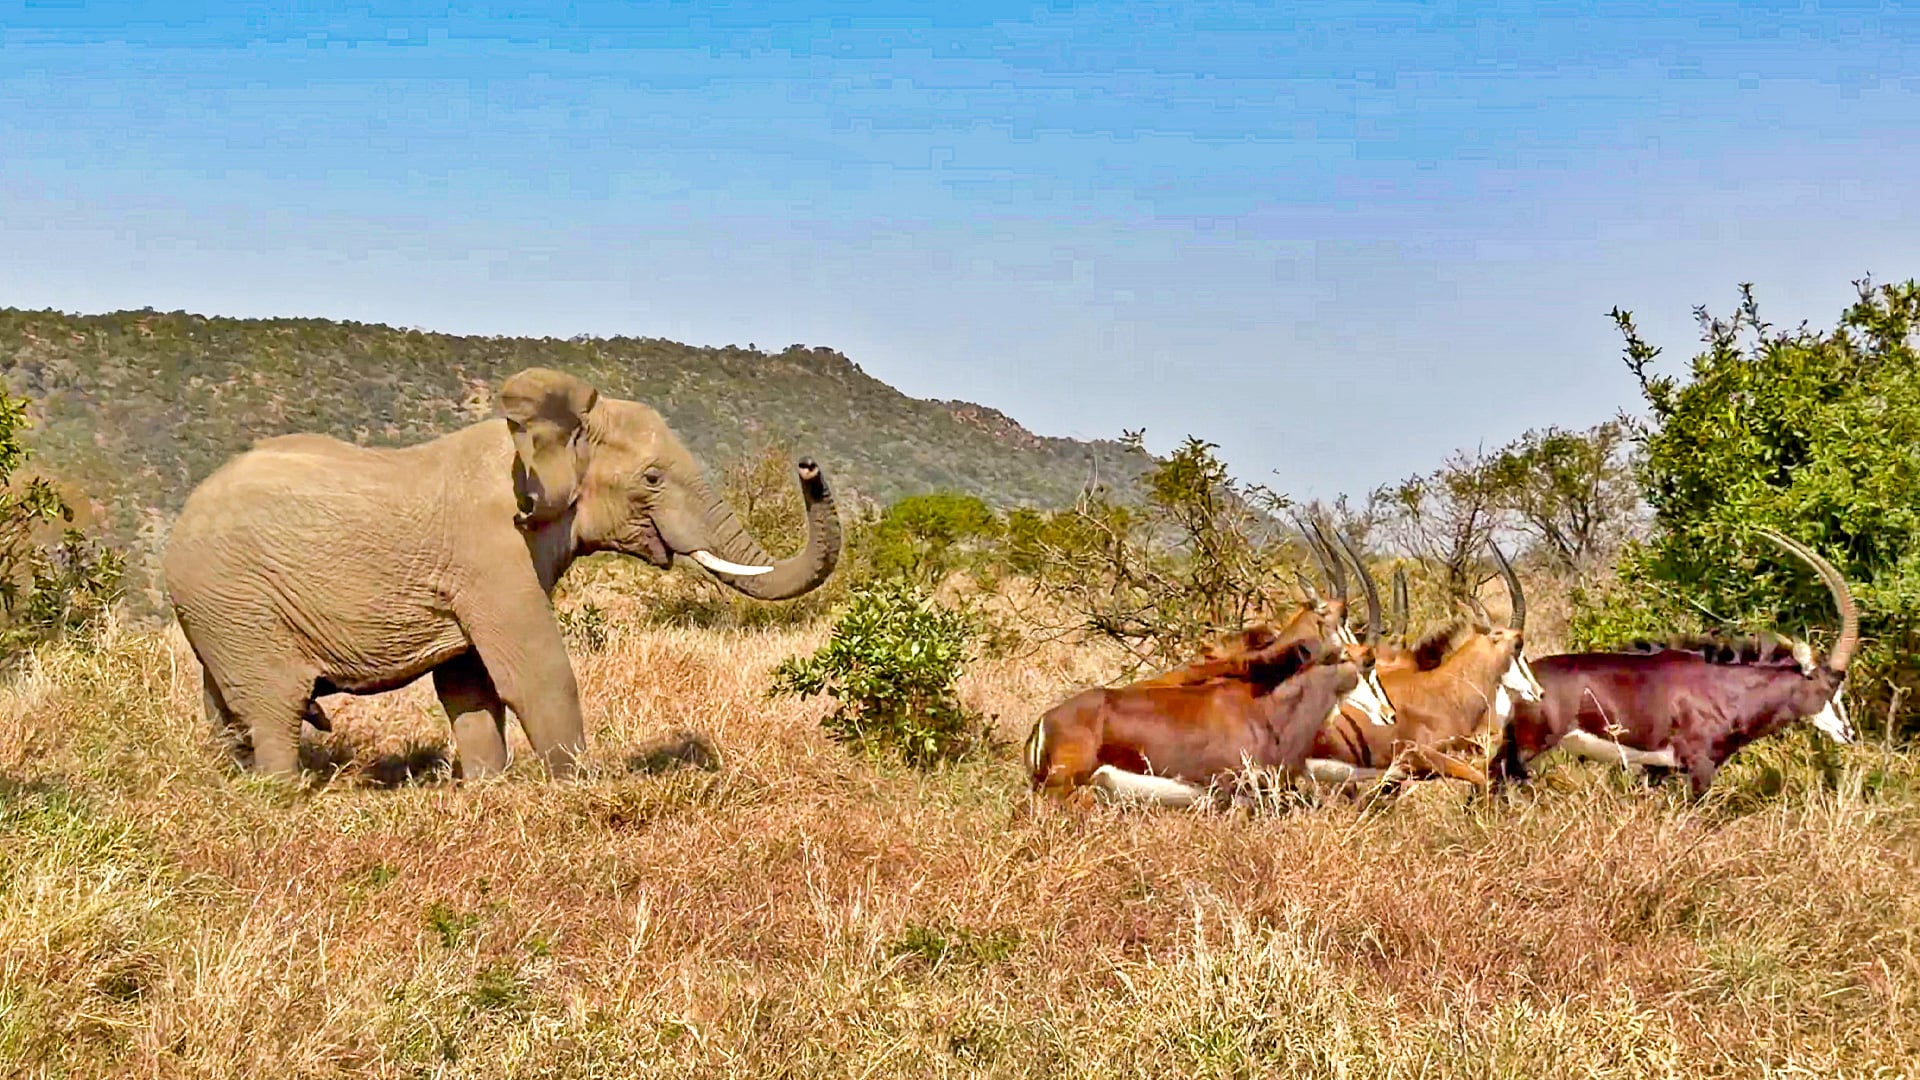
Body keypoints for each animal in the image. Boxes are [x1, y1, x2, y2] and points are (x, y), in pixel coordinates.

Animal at [162, 366, 841, 780]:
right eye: (652, 478)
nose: (808, 464)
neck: (550, 433)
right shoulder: (491, 551)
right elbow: (536, 672)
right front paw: (578, 790)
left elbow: (469, 685)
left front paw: (488, 789)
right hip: (233, 599)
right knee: (273, 703)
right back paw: (279, 797)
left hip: (219, 611)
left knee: (226, 706)